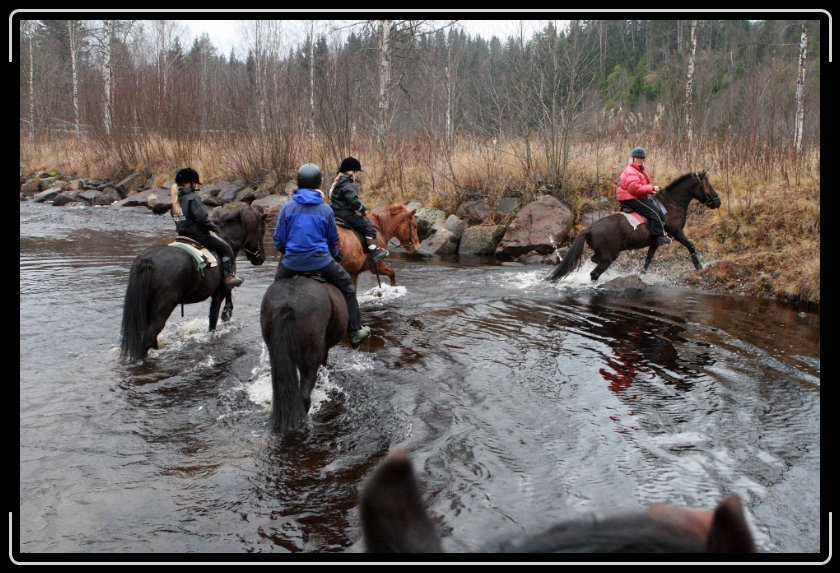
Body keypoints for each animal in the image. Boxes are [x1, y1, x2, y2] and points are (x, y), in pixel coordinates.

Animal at [119, 203, 266, 360]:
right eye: (261, 231)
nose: (261, 258)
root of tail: (148, 261)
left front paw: (227, 313)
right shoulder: (219, 291)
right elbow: (214, 317)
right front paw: (224, 316)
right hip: (163, 307)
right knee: (148, 338)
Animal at [548, 172, 720, 284]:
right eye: (708, 185)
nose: (718, 202)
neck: (672, 203)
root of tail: (589, 229)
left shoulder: (655, 242)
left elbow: (648, 260)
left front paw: (642, 276)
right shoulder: (677, 232)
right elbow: (691, 246)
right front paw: (699, 267)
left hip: (604, 254)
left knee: (594, 261)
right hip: (609, 256)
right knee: (594, 273)